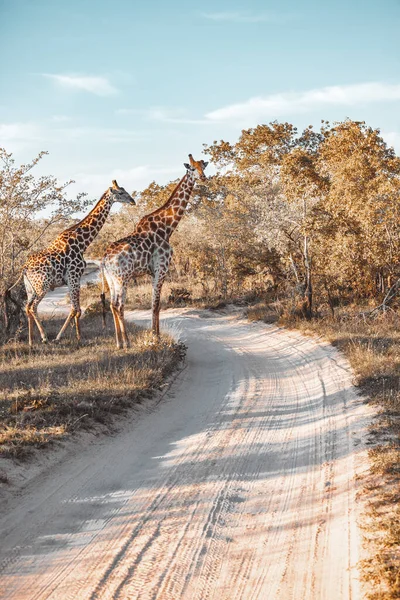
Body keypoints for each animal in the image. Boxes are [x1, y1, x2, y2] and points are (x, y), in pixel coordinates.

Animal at [7, 179, 135, 346]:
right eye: (120, 192)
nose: (132, 201)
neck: (82, 243)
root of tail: (25, 267)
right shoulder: (74, 276)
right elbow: (76, 309)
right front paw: (67, 337)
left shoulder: (71, 279)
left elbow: (77, 309)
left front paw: (78, 336)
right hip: (42, 286)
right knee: (33, 307)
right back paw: (44, 337)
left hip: (30, 288)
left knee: (27, 307)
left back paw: (31, 340)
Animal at [101, 155, 209, 350]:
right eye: (192, 169)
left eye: (202, 167)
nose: (203, 177)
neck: (166, 228)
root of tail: (104, 260)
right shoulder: (161, 268)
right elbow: (156, 304)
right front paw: (155, 338)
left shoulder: (152, 272)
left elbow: (155, 304)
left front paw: (155, 335)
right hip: (123, 277)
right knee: (119, 305)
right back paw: (127, 342)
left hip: (111, 279)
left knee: (112, 304)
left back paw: (119, 343)